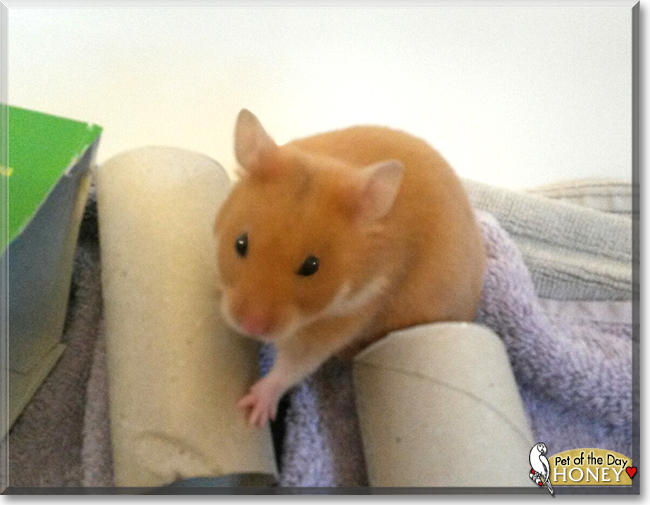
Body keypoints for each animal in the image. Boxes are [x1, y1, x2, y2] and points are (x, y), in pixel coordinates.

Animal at [214, 109, 485, 427]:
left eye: (312, 266)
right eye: (240, 243)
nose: (250, 326)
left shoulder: (348, 316)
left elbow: (292, 366)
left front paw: (253, 409)